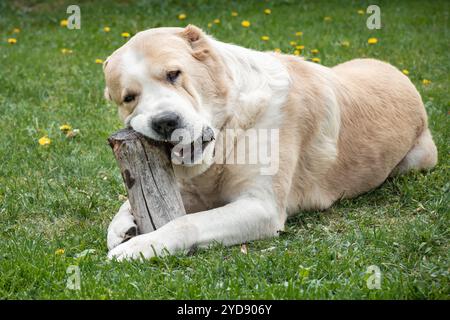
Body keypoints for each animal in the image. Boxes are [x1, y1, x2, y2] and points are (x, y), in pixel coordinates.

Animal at [103, 24, 436, 260]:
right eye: (129, 98)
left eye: (174, 74)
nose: (164, 122)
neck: (231, 127)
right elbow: (127, 203)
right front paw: (121, 227)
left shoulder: (260, 207)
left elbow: (186, 223)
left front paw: (138, 247)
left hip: (418, 160)